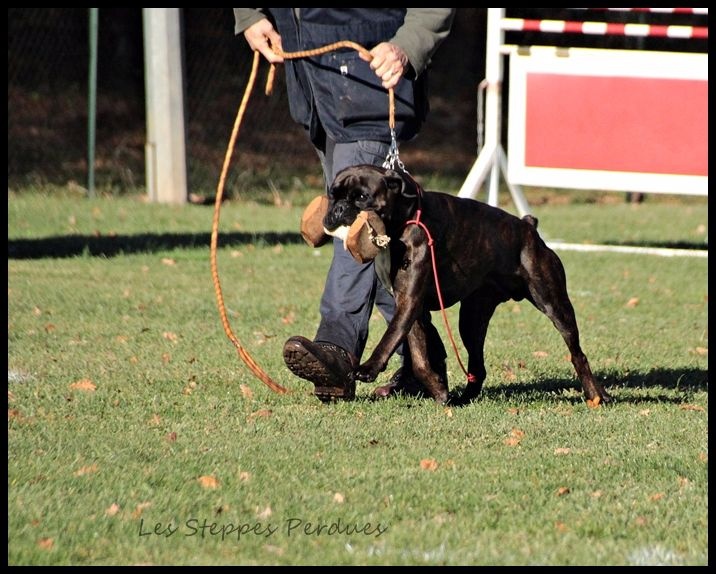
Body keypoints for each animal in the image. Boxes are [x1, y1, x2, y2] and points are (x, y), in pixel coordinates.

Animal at [324, 166, 608, 408]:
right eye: (332, 195)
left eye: (362, 197)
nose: (338, 208)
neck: (402, 222)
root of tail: (527, 226)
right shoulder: (410, 308)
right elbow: (419, 358)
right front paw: (440, 391)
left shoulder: (409, 303)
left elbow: (390, 338)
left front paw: (368, 368)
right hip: (472, 319)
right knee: (477, 368)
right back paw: (465, 399)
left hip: (553, 303)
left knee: (577, 353)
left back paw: (596, 395)